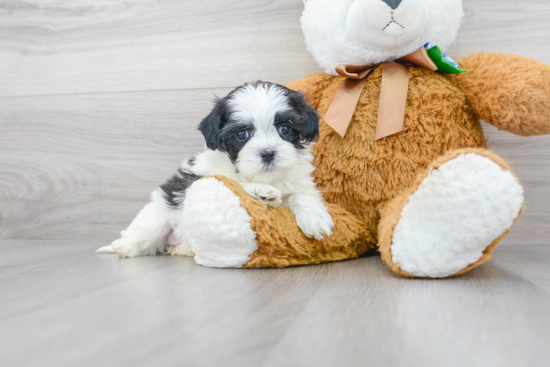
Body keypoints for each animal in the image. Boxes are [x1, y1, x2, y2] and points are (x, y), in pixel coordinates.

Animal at [97, 81, 334, 258]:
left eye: (285, 129)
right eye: (241, 134)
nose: (267, 153)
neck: (265, 176)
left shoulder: (300, 182)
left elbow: (300, 196)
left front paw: (315, 218)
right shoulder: (207, 174)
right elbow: (234, 181)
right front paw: (261, 191)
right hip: (156, 217)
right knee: (141, 236)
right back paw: (123, 246)